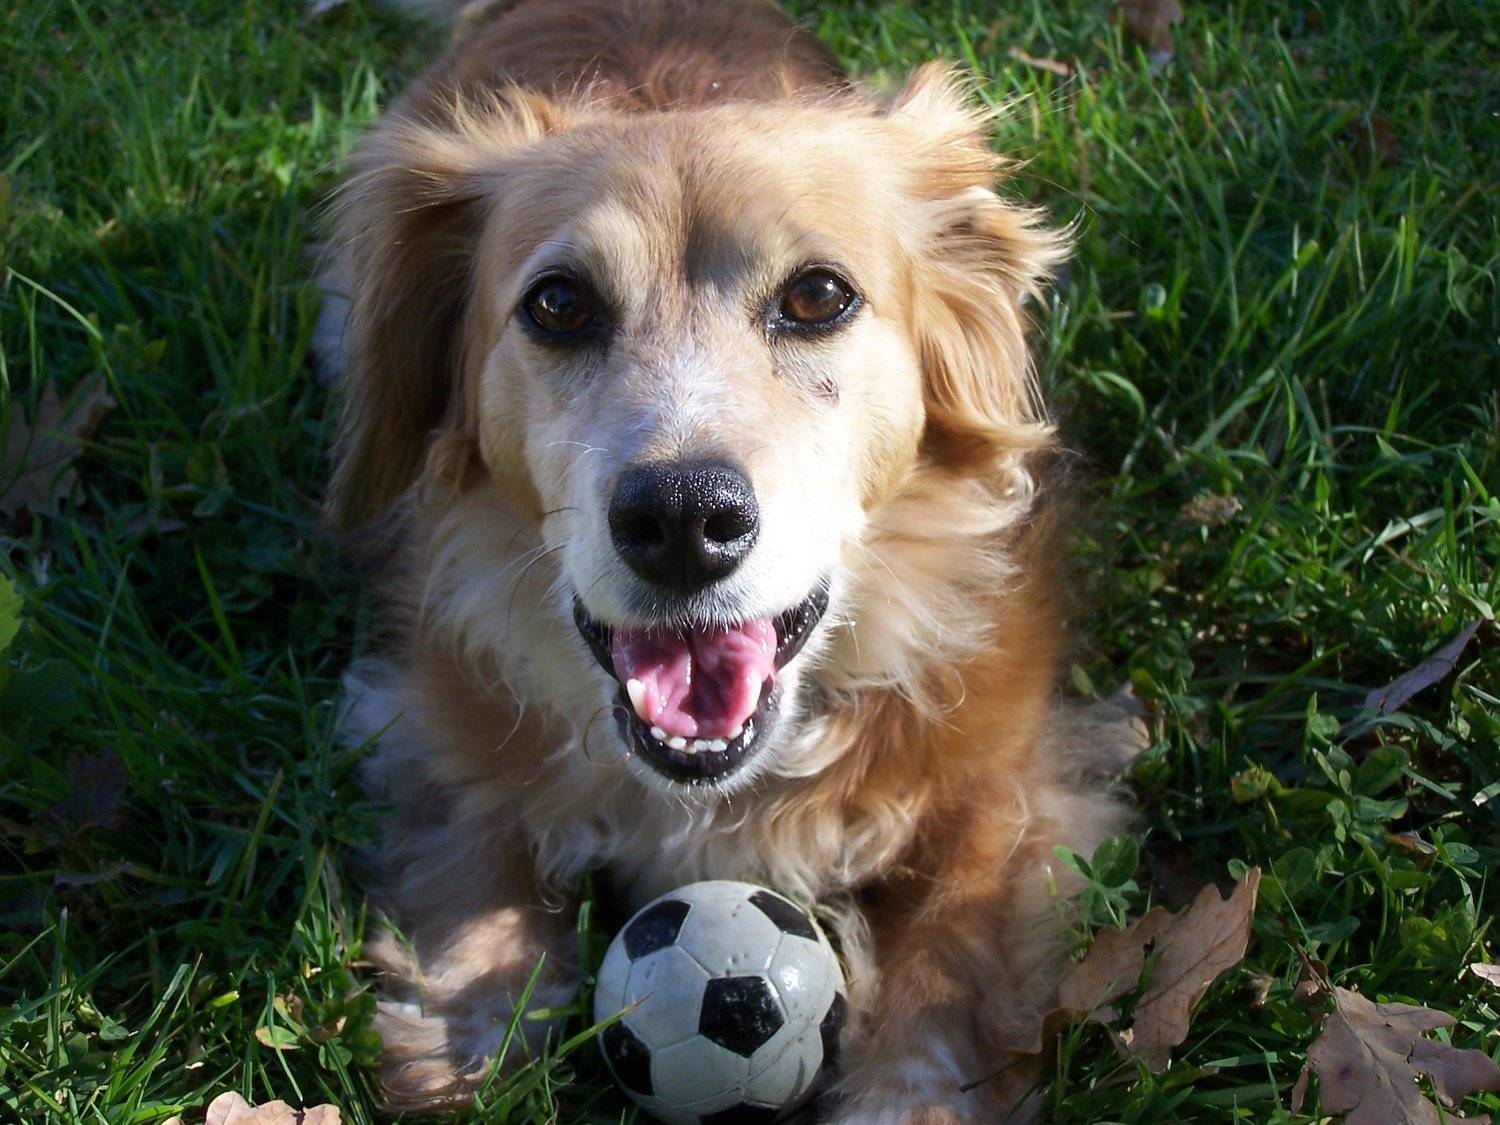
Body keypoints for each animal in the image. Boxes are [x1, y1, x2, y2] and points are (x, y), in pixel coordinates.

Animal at [322, 1, 1137, 1119]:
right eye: (559, 305)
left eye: (819, 296)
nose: (680, 518)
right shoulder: (436, 698)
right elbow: (475, 835)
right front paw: (470, 1018)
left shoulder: (1009, 781)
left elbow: (951, 955)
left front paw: (911, 1092)